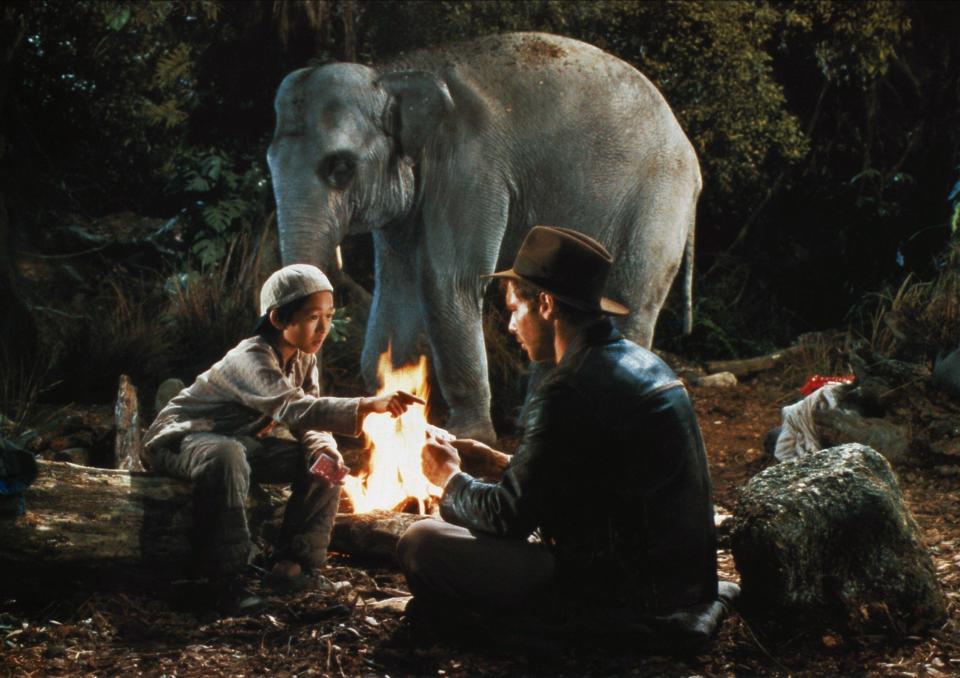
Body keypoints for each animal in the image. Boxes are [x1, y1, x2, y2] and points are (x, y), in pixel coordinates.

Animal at [266, 31, 700, 444]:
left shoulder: (469, 169)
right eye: (269, 163)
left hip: (659, 201)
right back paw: (530, 420)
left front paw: (467, 435)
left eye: (340, 167)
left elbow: (446, 282)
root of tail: (691, 159)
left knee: (631, 302)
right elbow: (397, 286)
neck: (394, 73)